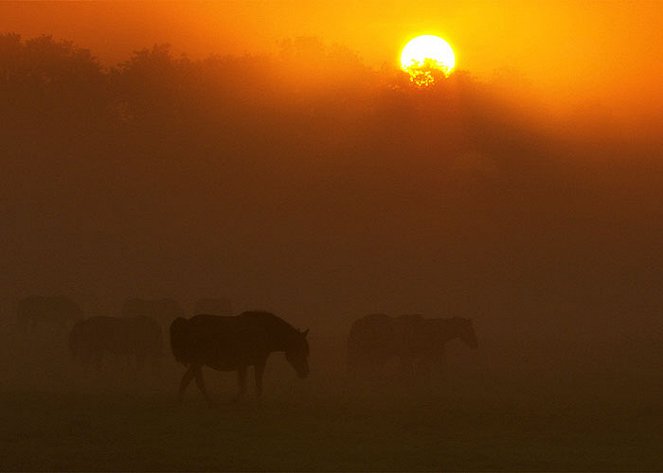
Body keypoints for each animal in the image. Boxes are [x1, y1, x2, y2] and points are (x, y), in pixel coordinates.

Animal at [169, 310, 308, 406]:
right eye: (301, 349)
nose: (305, 372)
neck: (266, 332)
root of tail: (187, 323)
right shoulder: (257, 363)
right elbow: (253, 386)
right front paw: (244, 402)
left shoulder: (243, 365)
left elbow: (245, 386)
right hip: (198, 361)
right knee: (198, 381)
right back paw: (210, 402)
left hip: (197, 362)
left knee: (186, 379)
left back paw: (181, 401)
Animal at [348, 314, 478, 384]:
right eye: (469, 329)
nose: (475, 344)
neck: (434, 331)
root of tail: (357, 323)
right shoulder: (428, 355)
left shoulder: (423, 355)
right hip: (367, 353)